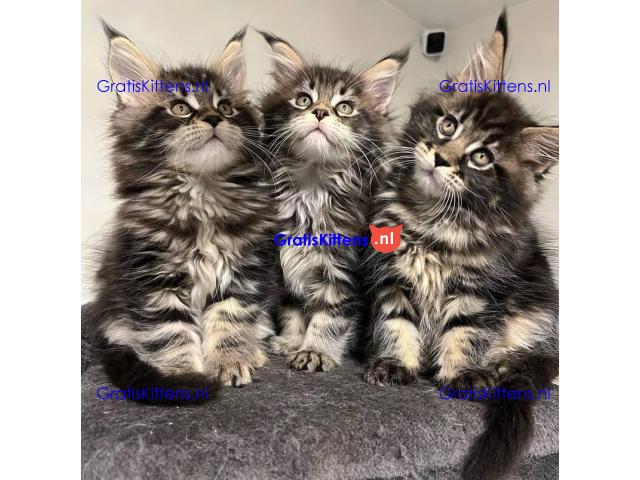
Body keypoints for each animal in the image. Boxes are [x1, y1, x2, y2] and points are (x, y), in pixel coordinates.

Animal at [93, 23, 278, 402]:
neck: (202, 193)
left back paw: (253, 349)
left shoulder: (244, 269)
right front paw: (183, 375)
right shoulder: (152, 275)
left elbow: (230, 318)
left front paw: (231, 359)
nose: (214, 118)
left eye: (226, 107)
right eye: (180, 108)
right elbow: (170, 331)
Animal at [258, 31, 408, 371]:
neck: (312, 189)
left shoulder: (342, 272)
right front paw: (292, 341)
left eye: (346, 108)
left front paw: (315, 351)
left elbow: (329, 316)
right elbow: (293, 312)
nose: (320, 112)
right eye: (303, 100)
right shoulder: (285, 268)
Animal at [363, 11, 559, 480]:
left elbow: (466, 332)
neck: (435, 222)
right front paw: (397, 364)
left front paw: (462, 375)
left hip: (539, 301)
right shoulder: (392, 275)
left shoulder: (480, 287)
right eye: (448, 124)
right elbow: (397, 323)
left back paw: (504, 365)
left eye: (482, 157)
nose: (440, 158)